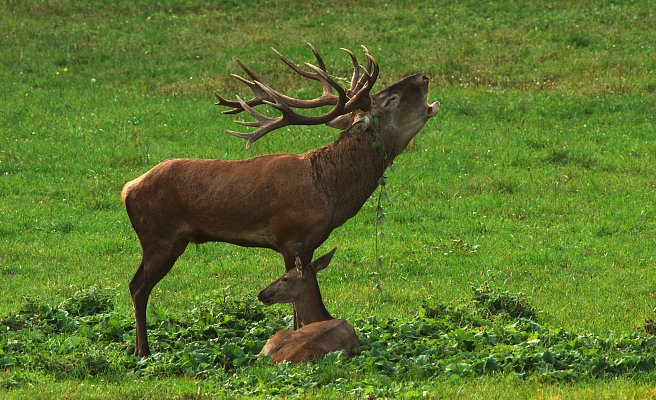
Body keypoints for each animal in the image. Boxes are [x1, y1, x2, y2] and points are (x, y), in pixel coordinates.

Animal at [123, 43, 440, 356]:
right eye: (391, 99)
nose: (423, 77)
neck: (328, 192)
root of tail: (127, 189)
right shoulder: (291, 238)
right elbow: (296, 308)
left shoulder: (311, 244)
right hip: (159, 237)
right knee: (137, 286)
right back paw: (142, 350)